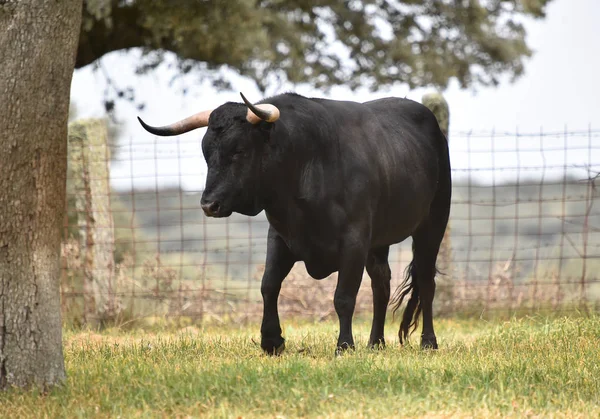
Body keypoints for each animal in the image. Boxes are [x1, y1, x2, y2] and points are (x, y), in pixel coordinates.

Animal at [139, 92, 450, 354]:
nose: (208, 205)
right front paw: (271, 340)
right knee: (381, 284)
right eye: (206, 153)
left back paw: (428, 342)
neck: (307, 163)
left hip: (432, 225)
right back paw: (376, 343)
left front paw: (344, 346)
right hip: (379, 241)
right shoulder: (280, 237)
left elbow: (343, 296)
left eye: (238, 151)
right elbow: (269, 286)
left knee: (425, 281)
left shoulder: (354, 240)